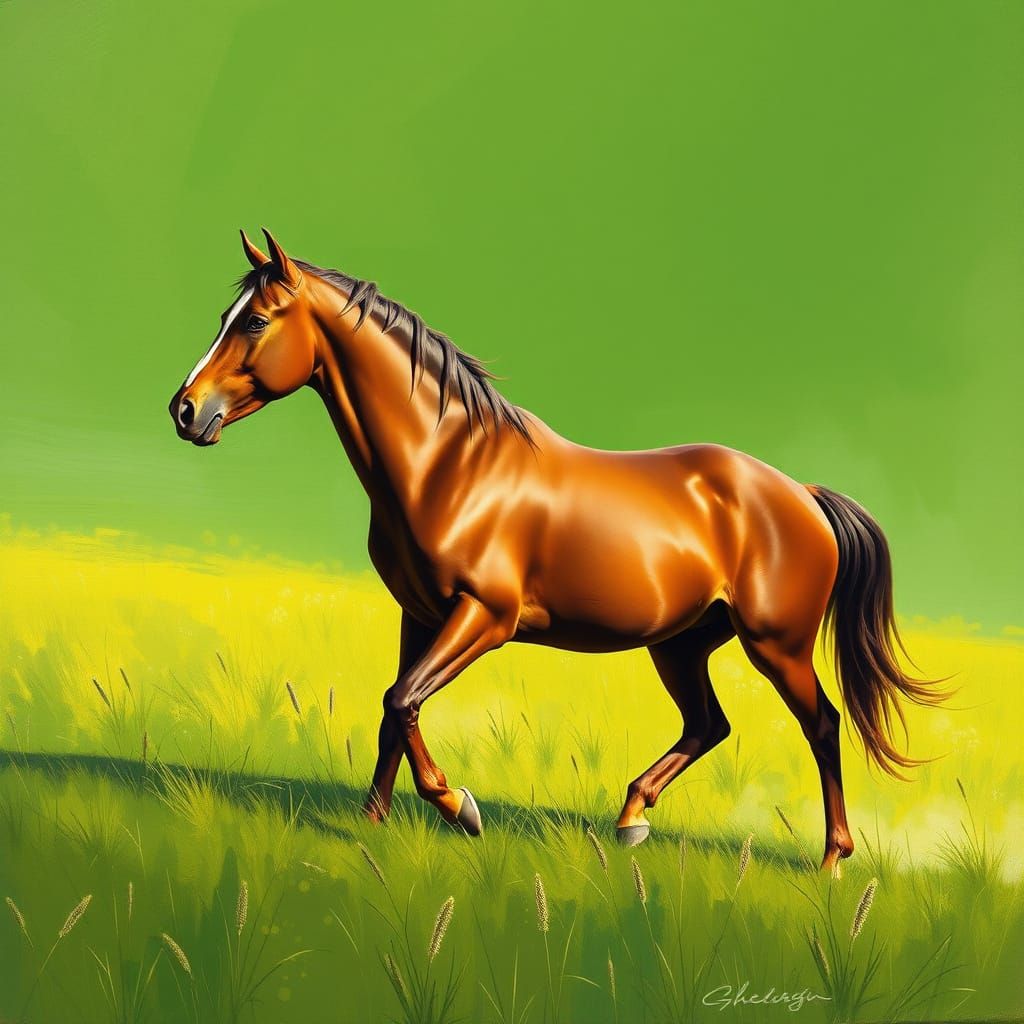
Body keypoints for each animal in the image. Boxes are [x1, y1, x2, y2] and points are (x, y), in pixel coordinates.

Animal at [169, 229, 945, 872]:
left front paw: (458, 808)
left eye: (256, 321)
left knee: (821, 724)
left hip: (775, 645)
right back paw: (630, 819)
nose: (185, 410)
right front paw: (373, 823)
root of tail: (802, 496)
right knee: (708, 724)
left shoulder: (484, 618)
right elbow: (396, 709)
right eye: (225, 317)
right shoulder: (418, 615)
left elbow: (401, 699)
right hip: (681, 644)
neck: (450, 466)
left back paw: (832, 860)